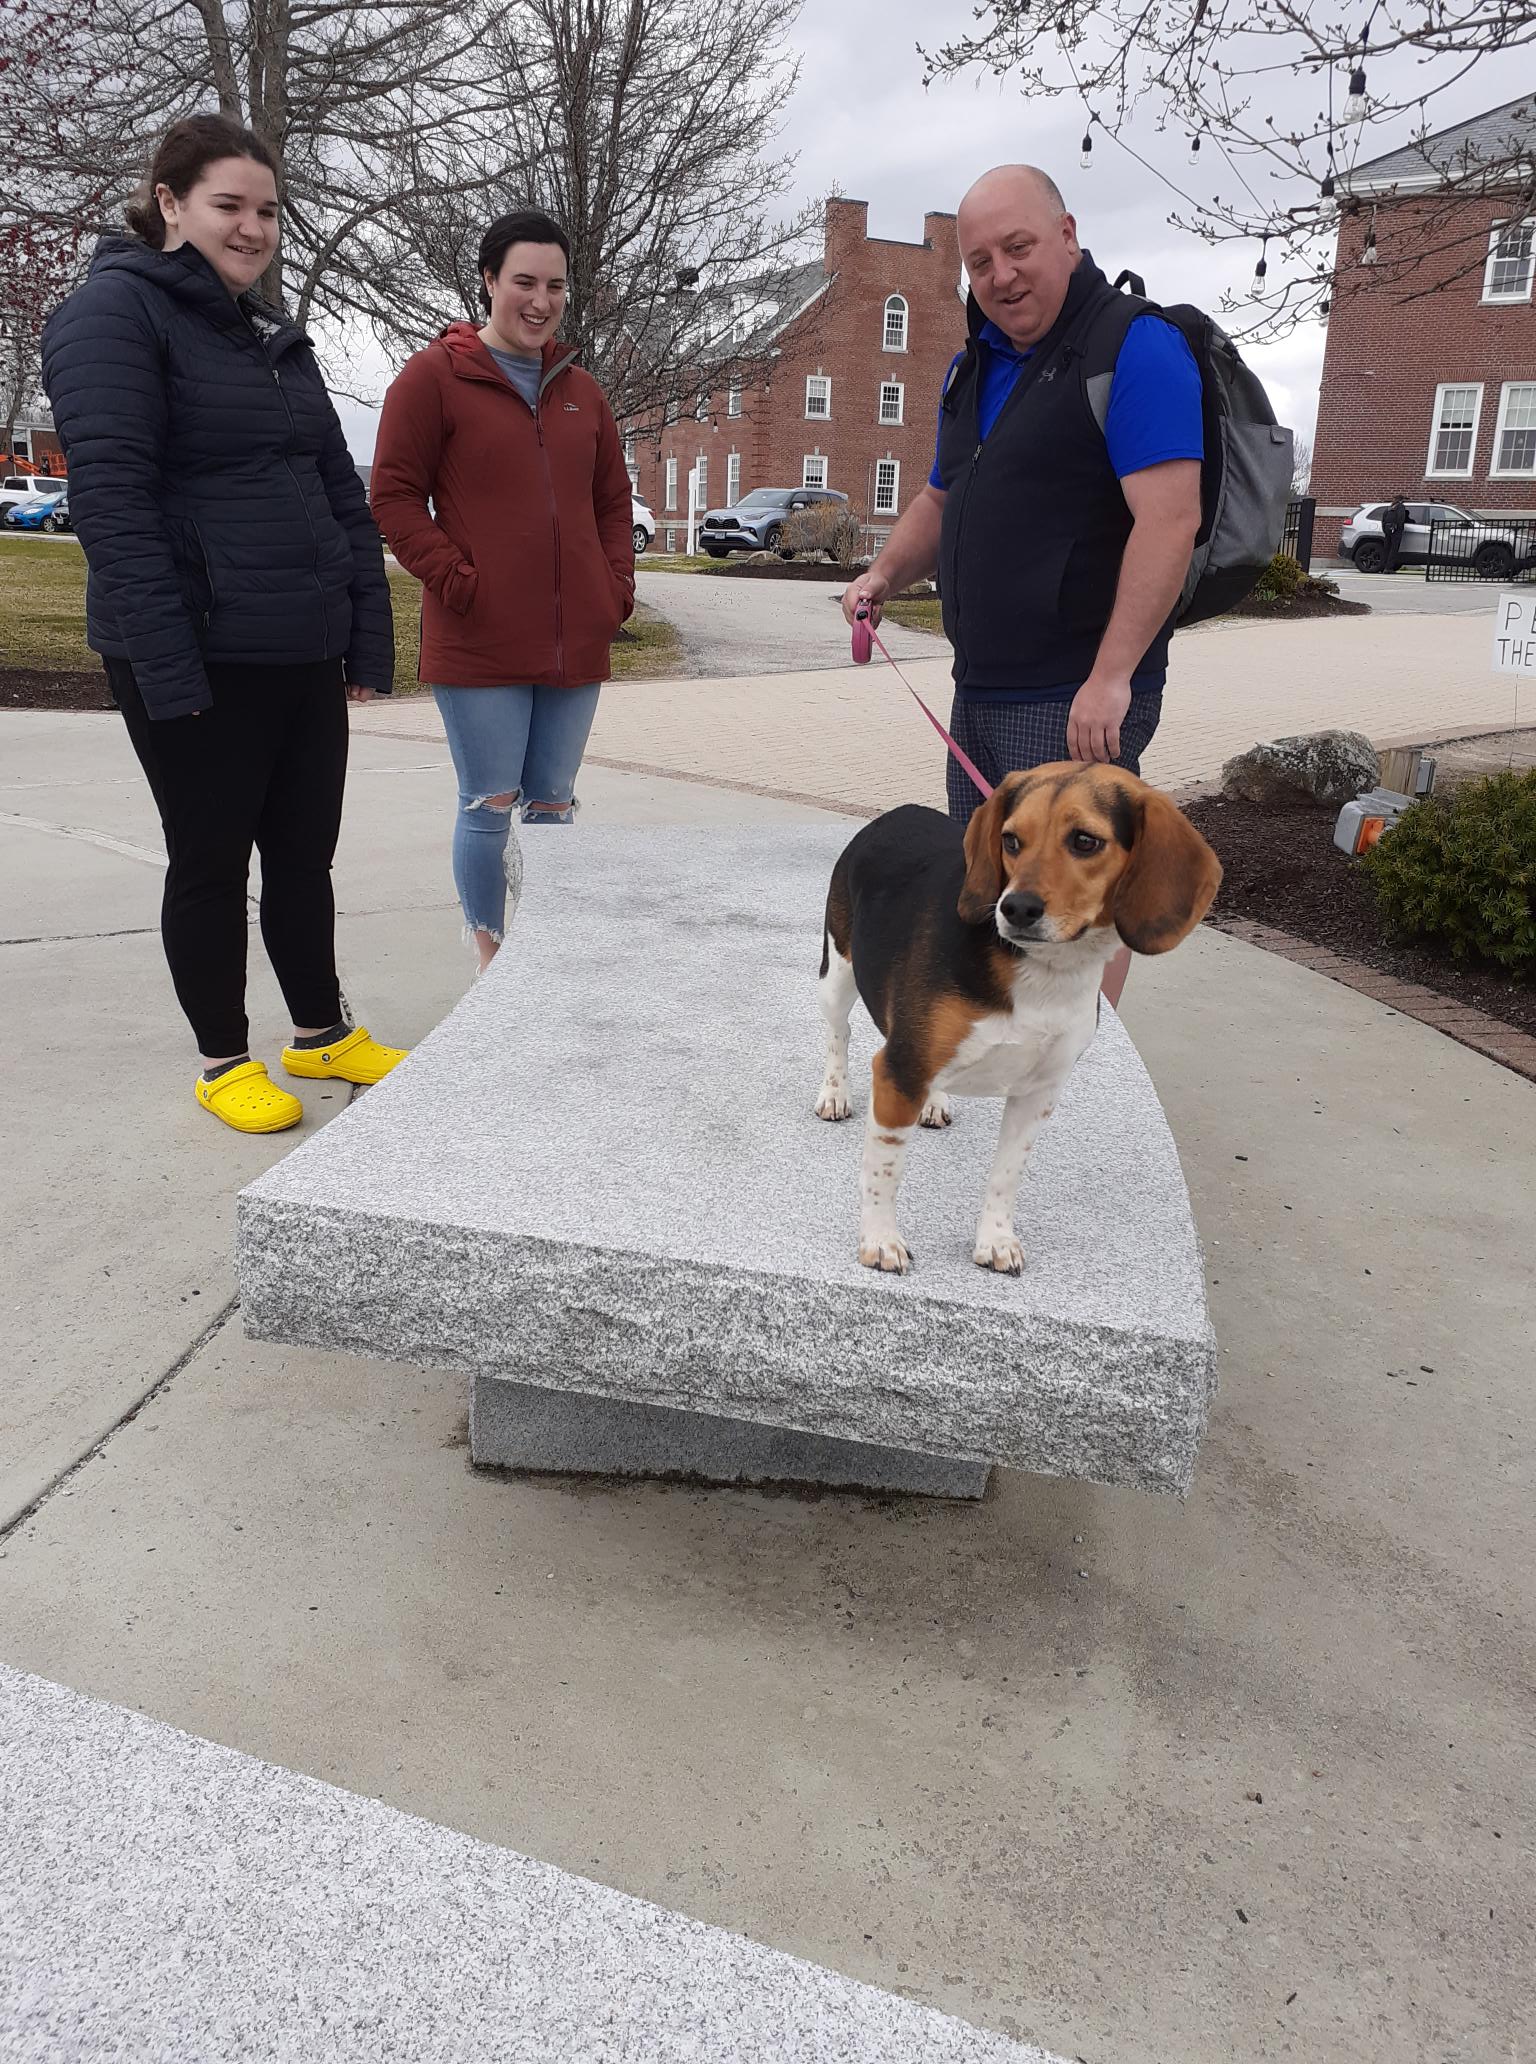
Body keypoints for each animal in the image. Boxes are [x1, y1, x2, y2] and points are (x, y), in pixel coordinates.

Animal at [814, 764, 1221, 1274]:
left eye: (1085, 841)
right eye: (1011, 840)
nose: (1016, 908)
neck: (1045, 972)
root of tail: (896, 812)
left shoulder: (1038, 1094)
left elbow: (1006, 1176)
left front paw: (995, 1240)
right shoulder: (901, 1070)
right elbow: (883, 1172)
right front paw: (880, 1240)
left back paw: (934, 1101)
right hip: (838, 974)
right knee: (840, 1032)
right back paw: (834, 1093)